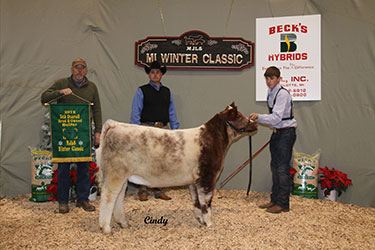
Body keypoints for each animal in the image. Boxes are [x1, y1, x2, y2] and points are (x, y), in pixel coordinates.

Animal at [96, 102, 258, 234]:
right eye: (240, 116)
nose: (255, 123)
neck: (213, 139)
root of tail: (114, 125)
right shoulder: (207, 177)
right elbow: (206, 202)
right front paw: (210, 223)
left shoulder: (194, 181)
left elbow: (196, 201)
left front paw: (200, 220)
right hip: (115, 175)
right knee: (108, 198)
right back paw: (106, 228)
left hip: (123, 177)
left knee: (118, 198)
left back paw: (123, 223)